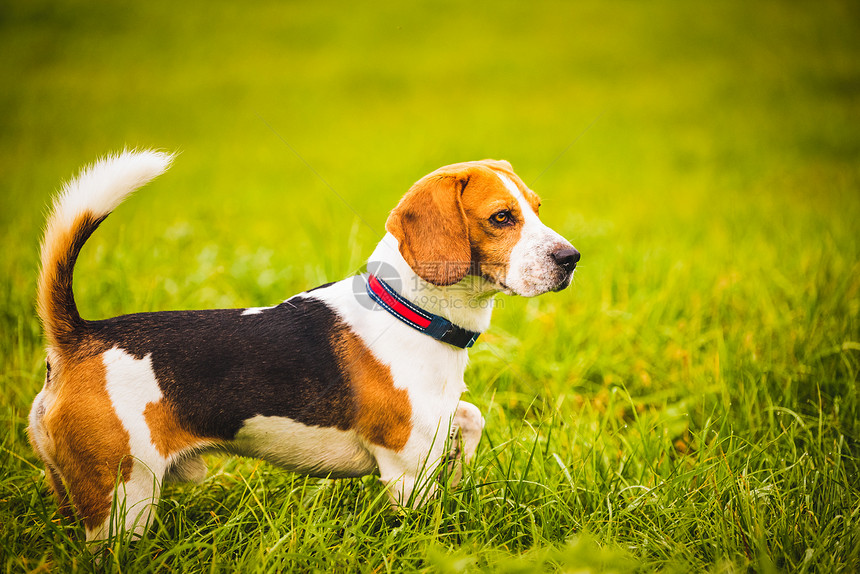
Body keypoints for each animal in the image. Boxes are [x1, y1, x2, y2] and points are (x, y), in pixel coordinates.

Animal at [28, 152, 576, 544]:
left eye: (537, 208)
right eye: (501, 217)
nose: (572, 258)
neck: (411, 313)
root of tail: (80, 337)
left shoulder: (439, 419)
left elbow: (470, 418)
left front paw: (461, 473)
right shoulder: (405, 467)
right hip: (125, 498)